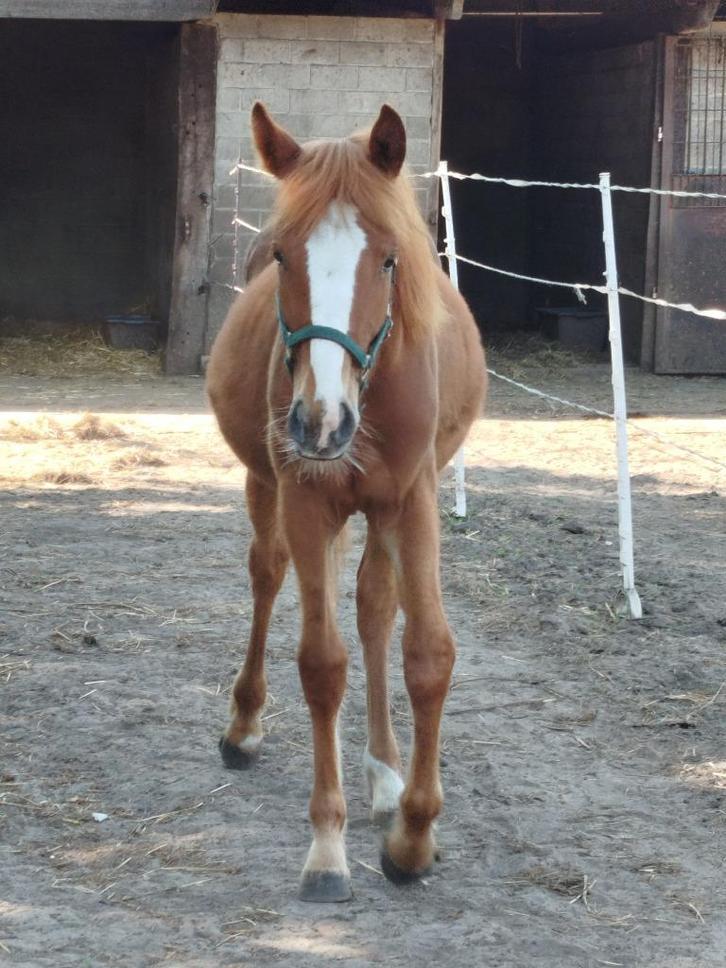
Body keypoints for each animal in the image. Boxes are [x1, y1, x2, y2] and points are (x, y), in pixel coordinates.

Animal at [206, 102, 487, 903]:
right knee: (268, 576)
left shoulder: (414, 501)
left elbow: (426, 652)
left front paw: (413, 836)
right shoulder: (306, 501)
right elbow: (321, 663)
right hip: (269, 489)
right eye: (281, 258)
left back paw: (385, 774)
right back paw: (244, 726)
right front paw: (327, 847)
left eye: (388, 260)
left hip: (379, 513)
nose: (321, 421)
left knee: (373, 609)